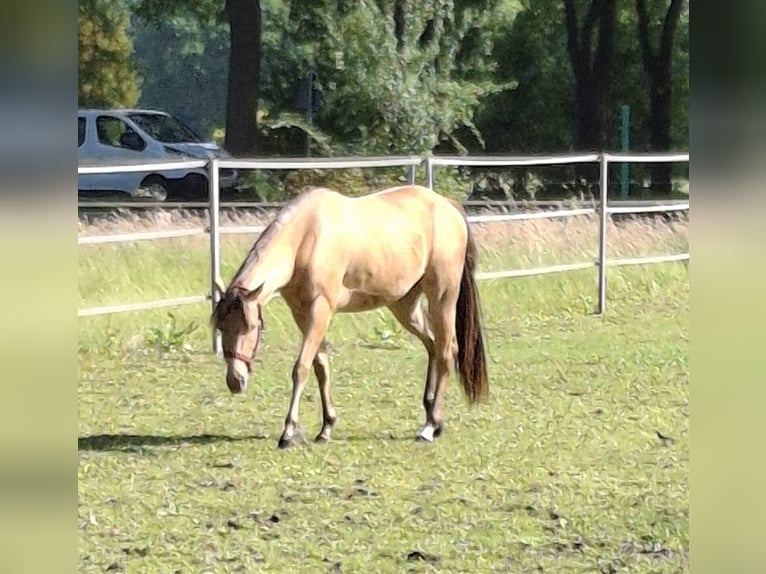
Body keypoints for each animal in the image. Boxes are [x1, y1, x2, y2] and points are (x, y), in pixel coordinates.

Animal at [210, 184, 488, 449]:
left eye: (250, 326)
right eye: (221, 328)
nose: (235, 380)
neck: (306, 238)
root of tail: (449, 207)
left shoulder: (321, 309)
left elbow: (301, 368)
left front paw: (289, 433)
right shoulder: (302, 313)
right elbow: (320, 367)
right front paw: (326, 428)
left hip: (442, 298)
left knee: (446, 353)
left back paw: (430, 428)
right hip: (405, 306)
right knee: (433, 345)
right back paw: (432, 418)